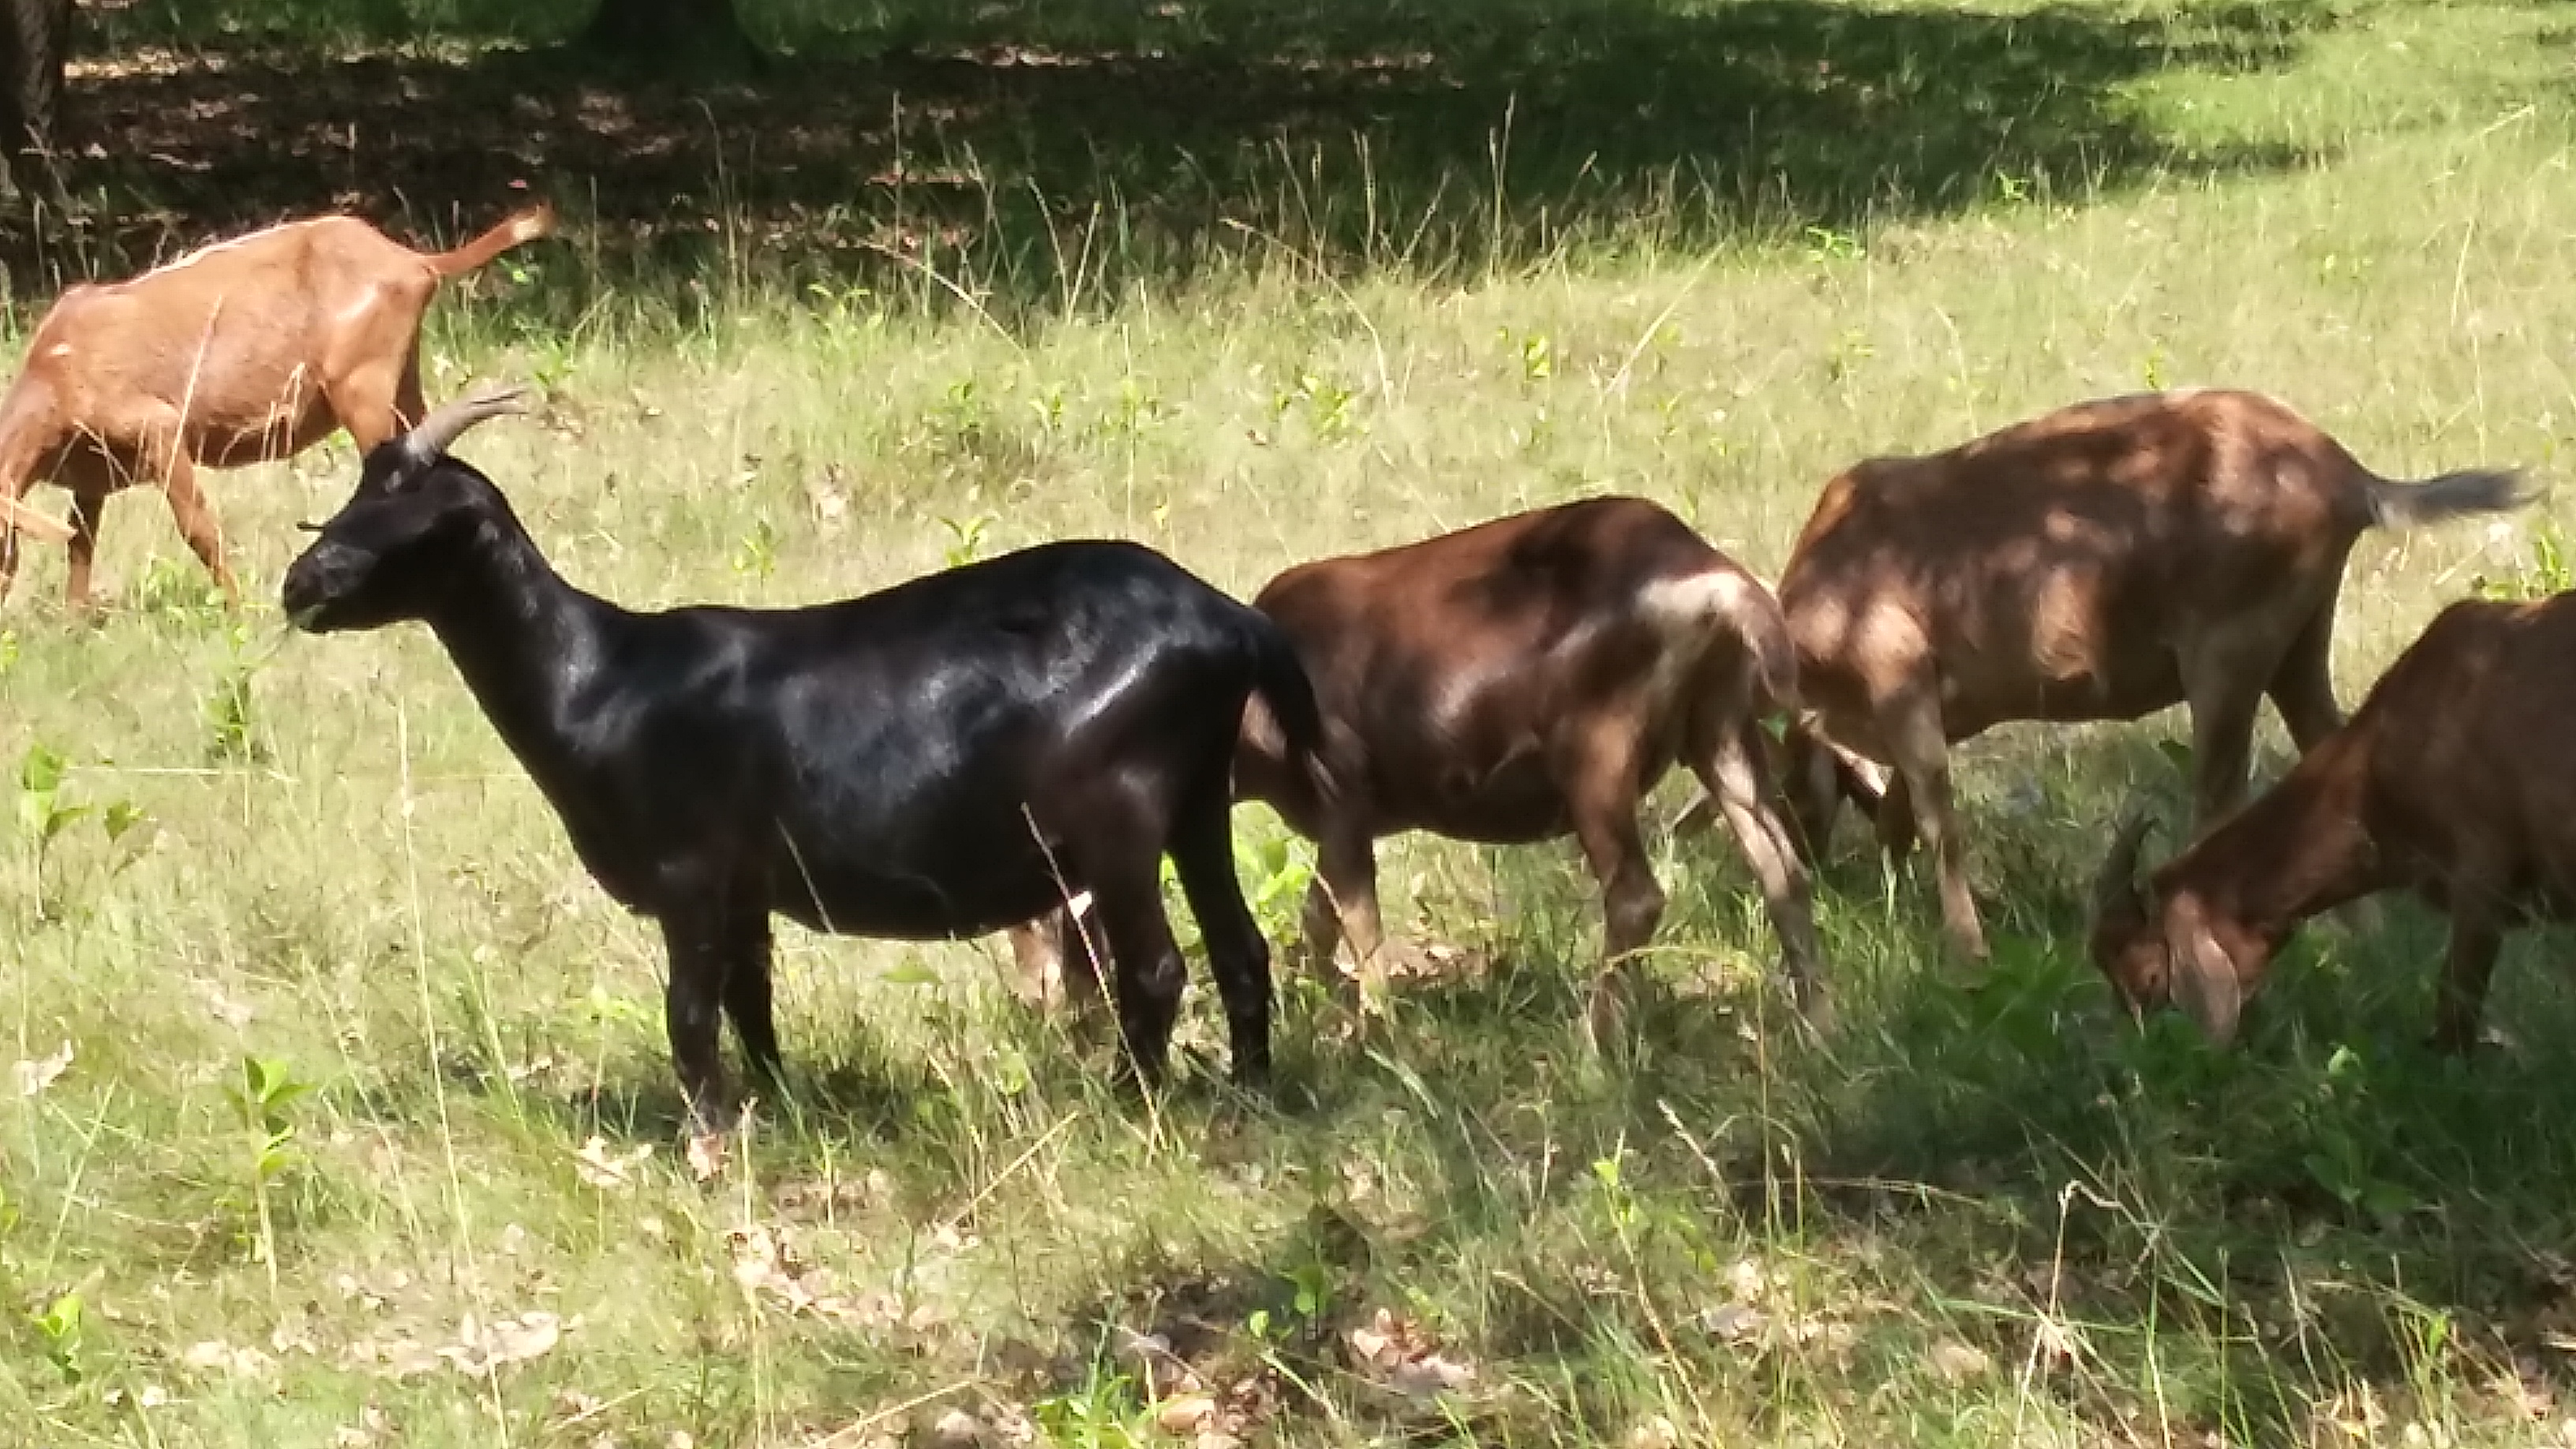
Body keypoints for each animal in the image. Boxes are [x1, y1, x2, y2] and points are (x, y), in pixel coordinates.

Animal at [0, 200, 556, 612]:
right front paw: (74, 625)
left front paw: (239, 610)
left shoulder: (157, 429)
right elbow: (80, 545)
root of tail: (414, 261)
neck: (57, 374)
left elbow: (198, 528)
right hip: (402, 380)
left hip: (362, 383)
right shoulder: (91, 474)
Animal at [279, 385, 1326, 1130]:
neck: (602, 679)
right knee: (1239, 949)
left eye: (417, 517)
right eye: (355, 492)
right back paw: (1250, 1096)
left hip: (1118, 809)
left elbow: (690, 1014)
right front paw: (776, 1109)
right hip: (1198, 798)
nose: (301, 586)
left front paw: (708, 1139)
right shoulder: (747, 890)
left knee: (1154, 969)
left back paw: (1129, 1106)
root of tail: (1227, 621)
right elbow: (753, 1005)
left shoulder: (691, 875)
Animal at [1008, 495, 1827, 1043]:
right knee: (1782, 868)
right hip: (1720, 727)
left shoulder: (1341, 786)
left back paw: (1595, 1042)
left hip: (1597, 748)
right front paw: (1318, 1000)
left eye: (1043, 909)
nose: (1036, 1003)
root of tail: (1715, 579)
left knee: (1635, 893)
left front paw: (1377, 1028)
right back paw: (1818, 1022)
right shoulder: (1342, 815)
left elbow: (1355, 916)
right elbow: (1321, 910)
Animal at [1769, 387, 2528, 960]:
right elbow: (1899, 811)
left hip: (2229, 647)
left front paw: (1966, 952)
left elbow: (1933, 814)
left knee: (2220, 796)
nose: (1812, 862)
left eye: (1789, 789)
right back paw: (2357, 944)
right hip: (2301, 642)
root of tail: (2354, 480)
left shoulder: (1900, 676)